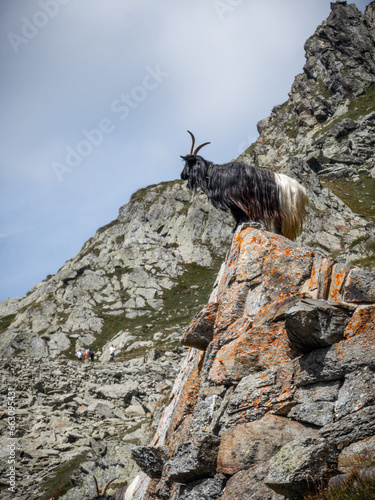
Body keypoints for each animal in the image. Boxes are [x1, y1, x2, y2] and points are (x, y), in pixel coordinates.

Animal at [181, 131, 310, 240]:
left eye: (187, 164)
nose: (182, 175)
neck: (214, 174)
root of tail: (301, 191)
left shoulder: (236, 201)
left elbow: (239, 216)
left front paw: (236, 228)